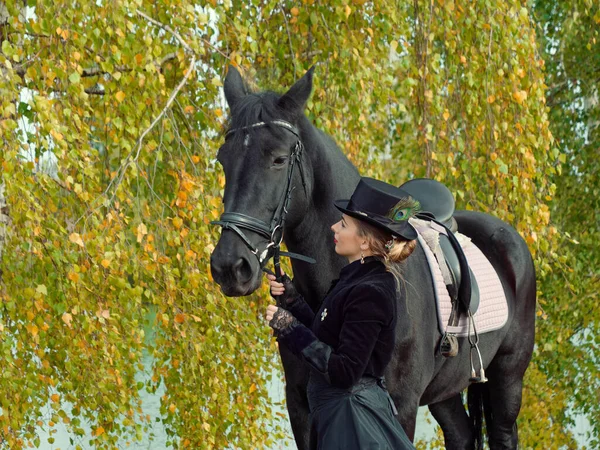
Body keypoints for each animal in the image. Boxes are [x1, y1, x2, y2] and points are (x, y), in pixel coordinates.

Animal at [210, 67, 536, 450]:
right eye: (223, 159)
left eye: (278, 158)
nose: (229, 266)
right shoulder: (300, 407)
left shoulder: (401, 404)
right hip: (445, 392)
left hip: (508, 378)